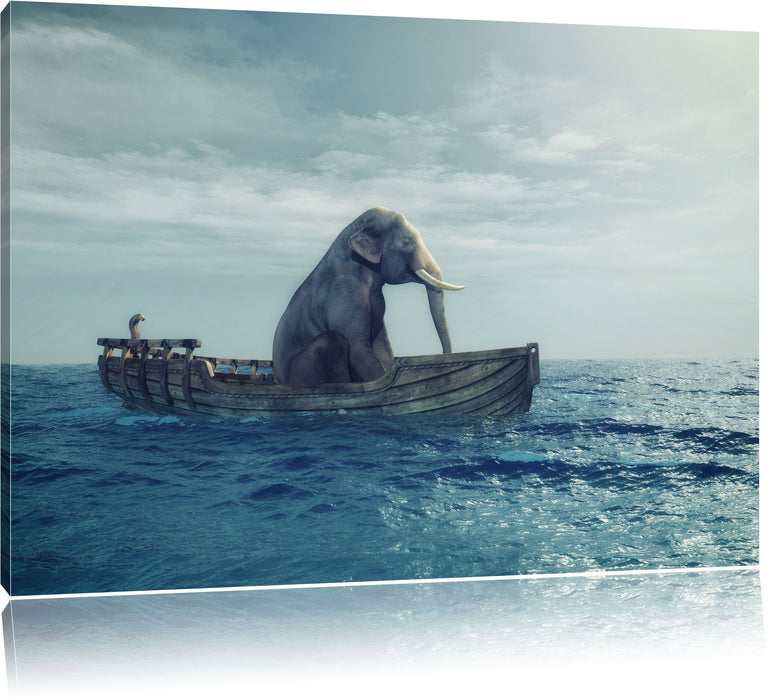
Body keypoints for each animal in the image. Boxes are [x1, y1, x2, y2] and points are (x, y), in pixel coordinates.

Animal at [272, 207, 463, 386]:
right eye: (406, 242)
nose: (445, 357)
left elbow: (382, 347)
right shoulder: (344, 296)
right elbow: (358, 349)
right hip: (301, 372)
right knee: (333, 340)